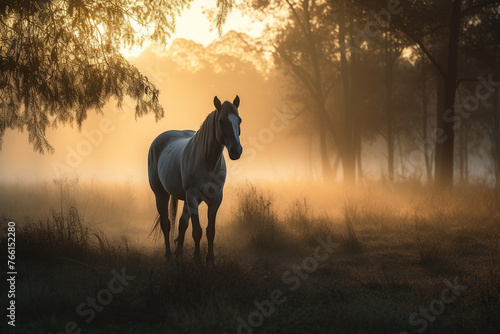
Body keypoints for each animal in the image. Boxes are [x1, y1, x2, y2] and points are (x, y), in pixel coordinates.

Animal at [146, 94, 242, 264]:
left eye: (240, 120)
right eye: (221, 121)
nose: (236, 151)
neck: (207, 163)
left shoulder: (216, 200)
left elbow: (210, 231)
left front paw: (210, 261)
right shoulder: (193, 198)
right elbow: (197, 231)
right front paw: (197, 261)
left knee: (182, 224)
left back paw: (178, 254)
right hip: (161, 194)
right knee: (166, 224)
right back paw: (169, 256)